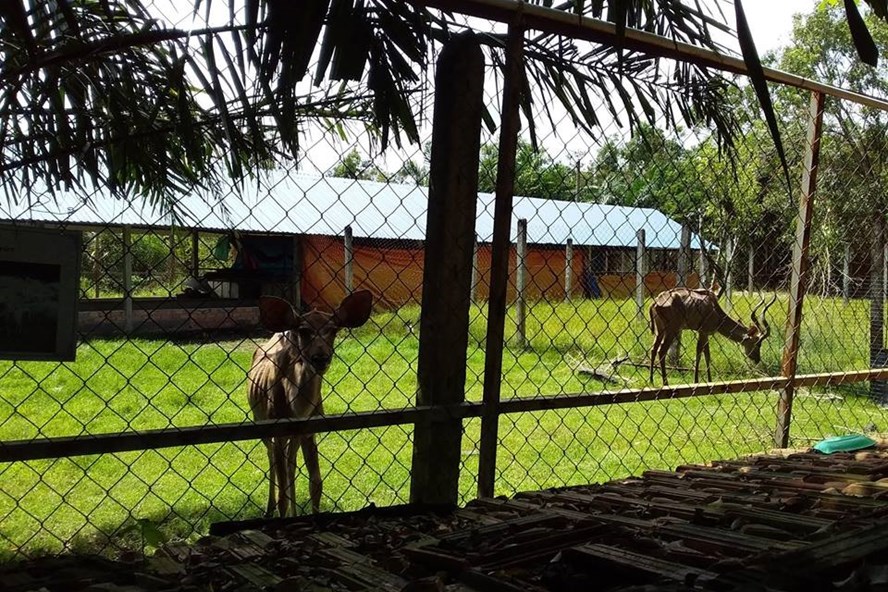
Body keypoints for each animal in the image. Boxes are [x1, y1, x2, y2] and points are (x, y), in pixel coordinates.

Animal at [247, 290, 373, 518]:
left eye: (333, 330)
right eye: (303, 330)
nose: (320, 357)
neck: (297, 409)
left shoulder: (310, 429)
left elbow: (316, 483)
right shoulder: (277, 428)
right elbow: (282, 494)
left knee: (290, 463)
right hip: (259, 420)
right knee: (272, 459)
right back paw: (269, 509)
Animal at [648, 287, 777, 385]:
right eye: (758, 344)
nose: (757, 359)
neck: (714, 308)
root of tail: (656, 302)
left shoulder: (705, 334)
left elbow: (707, 355)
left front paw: (709, 381)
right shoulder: (703, 332)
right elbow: (699, 354)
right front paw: (696, 381)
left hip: (659, 332)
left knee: (653, 349)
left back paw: (651, 381)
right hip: (671, 330)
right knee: (661, 350)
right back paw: (665, 383)